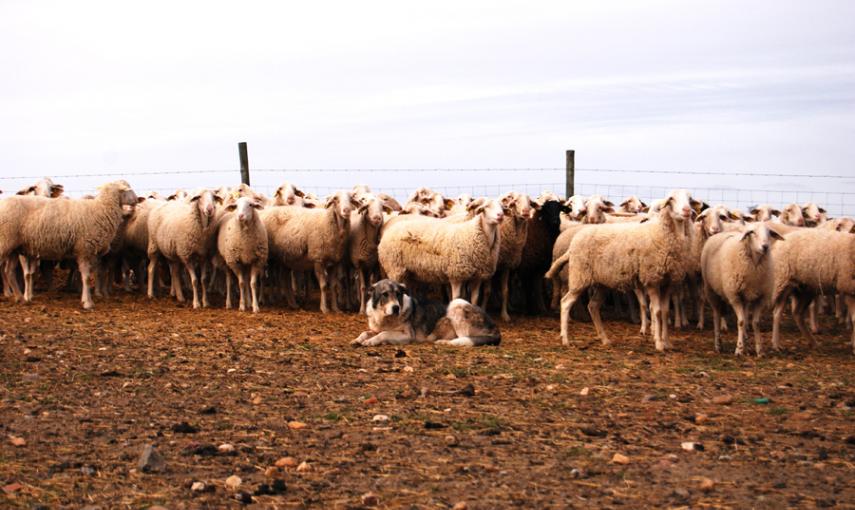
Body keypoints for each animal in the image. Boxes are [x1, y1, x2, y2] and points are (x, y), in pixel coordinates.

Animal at [0, 181, 137, 308]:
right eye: (128, 189)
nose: (136, 200)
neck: (100, 209)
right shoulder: (84, 249)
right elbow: (86, 277)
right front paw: (87, 303)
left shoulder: (89, 252)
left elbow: (85, 276)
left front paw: (85, 299)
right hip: (5, 242)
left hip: (14, 248)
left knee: (9, 271)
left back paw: (20, 298)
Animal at [352, 278, 502, 346]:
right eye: (385, 294)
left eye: (398, 294)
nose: (396, 308)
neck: (385, 317)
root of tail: (496, 328)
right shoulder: (375, 328)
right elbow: (366, 332)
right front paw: (357, 339)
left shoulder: (408, 335)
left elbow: (384, 334)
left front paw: (371, 342)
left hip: (456, 303)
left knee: (463, 339)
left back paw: (443, 342)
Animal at [700, 223, 784, 354]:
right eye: (752, 232)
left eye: (769, 233)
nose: (765, 247)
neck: (755, 265)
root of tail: (719, 233)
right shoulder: (735, 296)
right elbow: (741, 322)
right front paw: (738, 349)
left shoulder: (760, 298)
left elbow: (756, 323)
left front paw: (759, 350)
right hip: (711, 290)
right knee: (716, 316)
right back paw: (718, 344)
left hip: (746, 298)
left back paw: (745, 342)